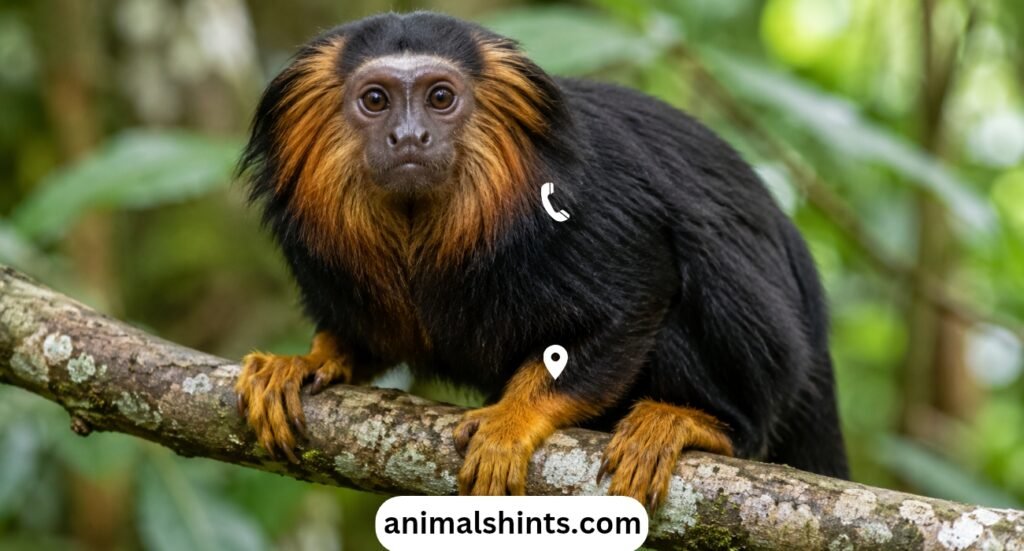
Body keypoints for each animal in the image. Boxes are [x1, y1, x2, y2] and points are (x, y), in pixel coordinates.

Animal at [234, 11, 848, 511]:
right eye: (376, 100)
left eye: (440, 97)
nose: (409, 136)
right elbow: (371, 337)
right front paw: (313, 358)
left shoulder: (584, 208)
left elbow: (639, 293)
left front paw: (514, 418)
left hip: (777, 357)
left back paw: (699, 423)